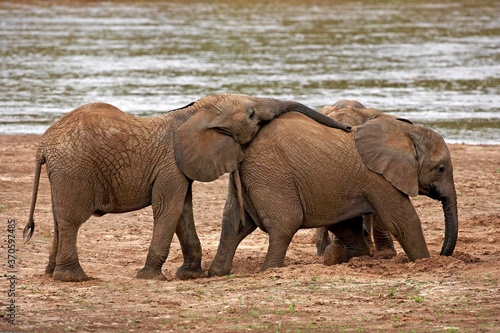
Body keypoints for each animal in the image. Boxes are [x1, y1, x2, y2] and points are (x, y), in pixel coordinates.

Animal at [24, 92, 352, 280]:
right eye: (251, 115)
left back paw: (51, 273)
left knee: (58, 219)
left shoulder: (179, 167)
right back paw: (74, 278)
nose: (349, 127)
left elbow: (182, 210)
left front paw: (190, 275)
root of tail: (42, 145)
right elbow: (168, 209)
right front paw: (150, 277)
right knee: (71, 220)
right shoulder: (170, 164)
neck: (192, 113)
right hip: (74, 168)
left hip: (64, 172)